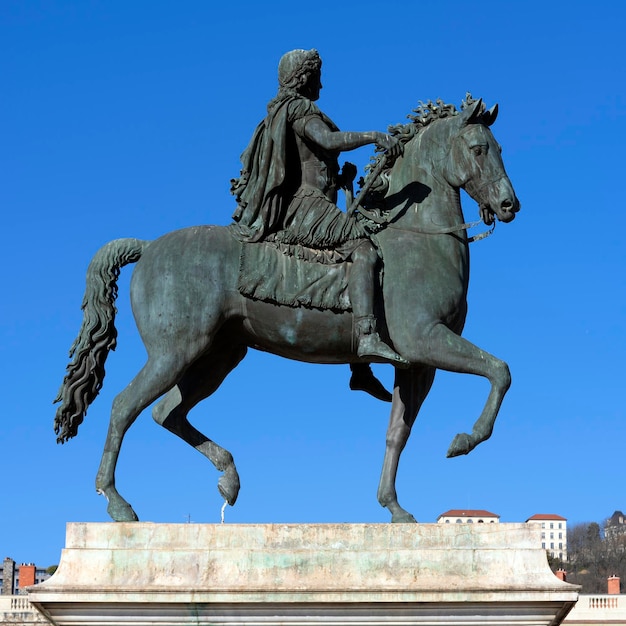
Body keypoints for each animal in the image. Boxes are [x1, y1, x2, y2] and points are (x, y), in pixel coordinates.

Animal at [56, 95, 520, 520]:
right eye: (479, 148)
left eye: (499, 147)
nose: (509, 205)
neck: (417, 235)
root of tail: (150, 245)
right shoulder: (425, 340)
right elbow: (500, 370)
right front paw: (465, 440)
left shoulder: (417, 363)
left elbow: (397, 433)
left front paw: (394, 508)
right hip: (176, 351)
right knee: (124, 407)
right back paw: (118, 503)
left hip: (217, 356)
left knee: (166, 413)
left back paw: (229, 478)